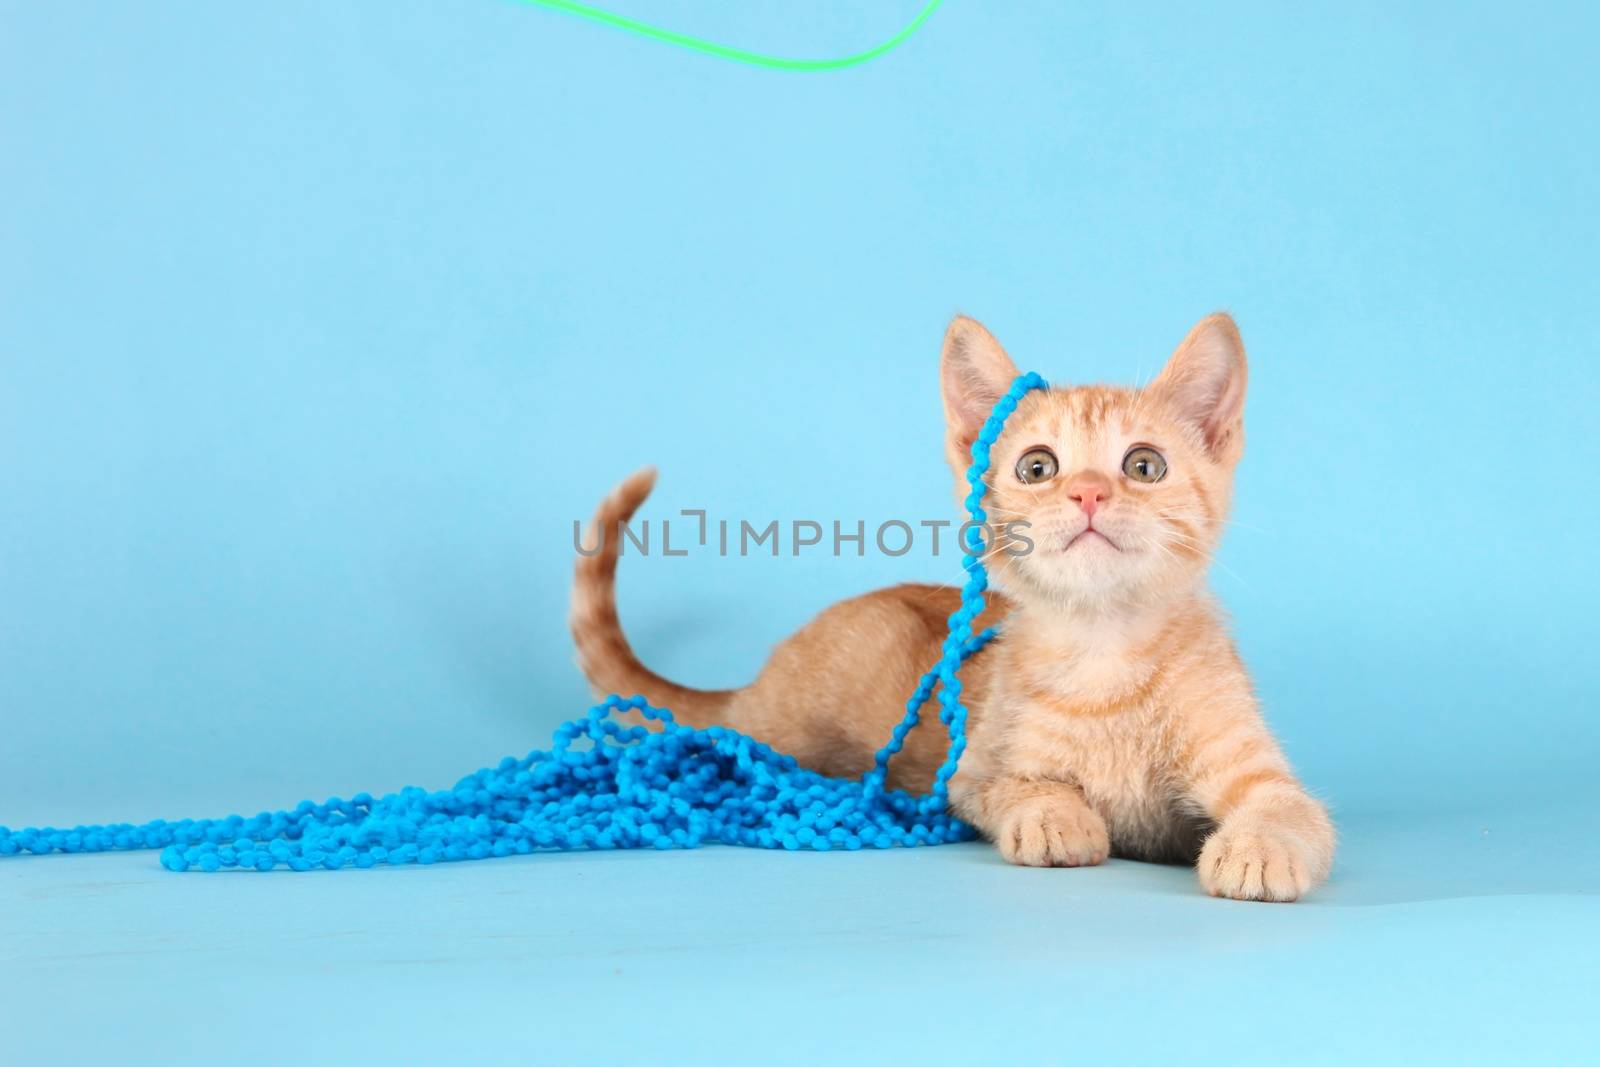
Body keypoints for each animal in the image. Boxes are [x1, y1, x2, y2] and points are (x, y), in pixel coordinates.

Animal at [569, 310, 1331, 902]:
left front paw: (1260, 847)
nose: (1087, 492)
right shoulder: (972, 774)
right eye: (1037, 467)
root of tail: (754, 684)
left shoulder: (1252, 765)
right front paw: (1056, 815)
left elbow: (1290, 807)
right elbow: (1020, 787)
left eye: (1144, 466)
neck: (1105, 652)